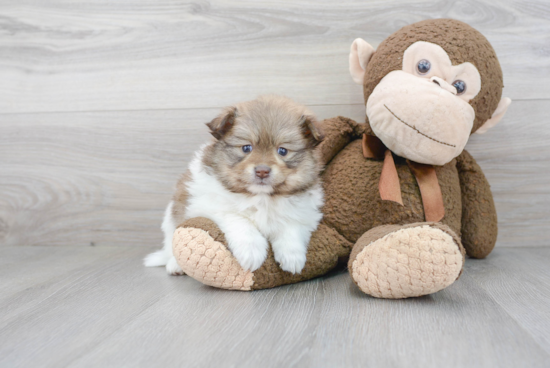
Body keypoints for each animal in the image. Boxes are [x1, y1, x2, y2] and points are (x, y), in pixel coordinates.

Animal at [144, 96, 326, 274]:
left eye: (282, 151)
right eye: (246, 148)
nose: (262, 171)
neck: (260, 197)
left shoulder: (304, 213)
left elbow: (290, 227)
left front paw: (292, 257)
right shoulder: (211, 206)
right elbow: (240, 221)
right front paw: (252, 253)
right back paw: (175, 265)